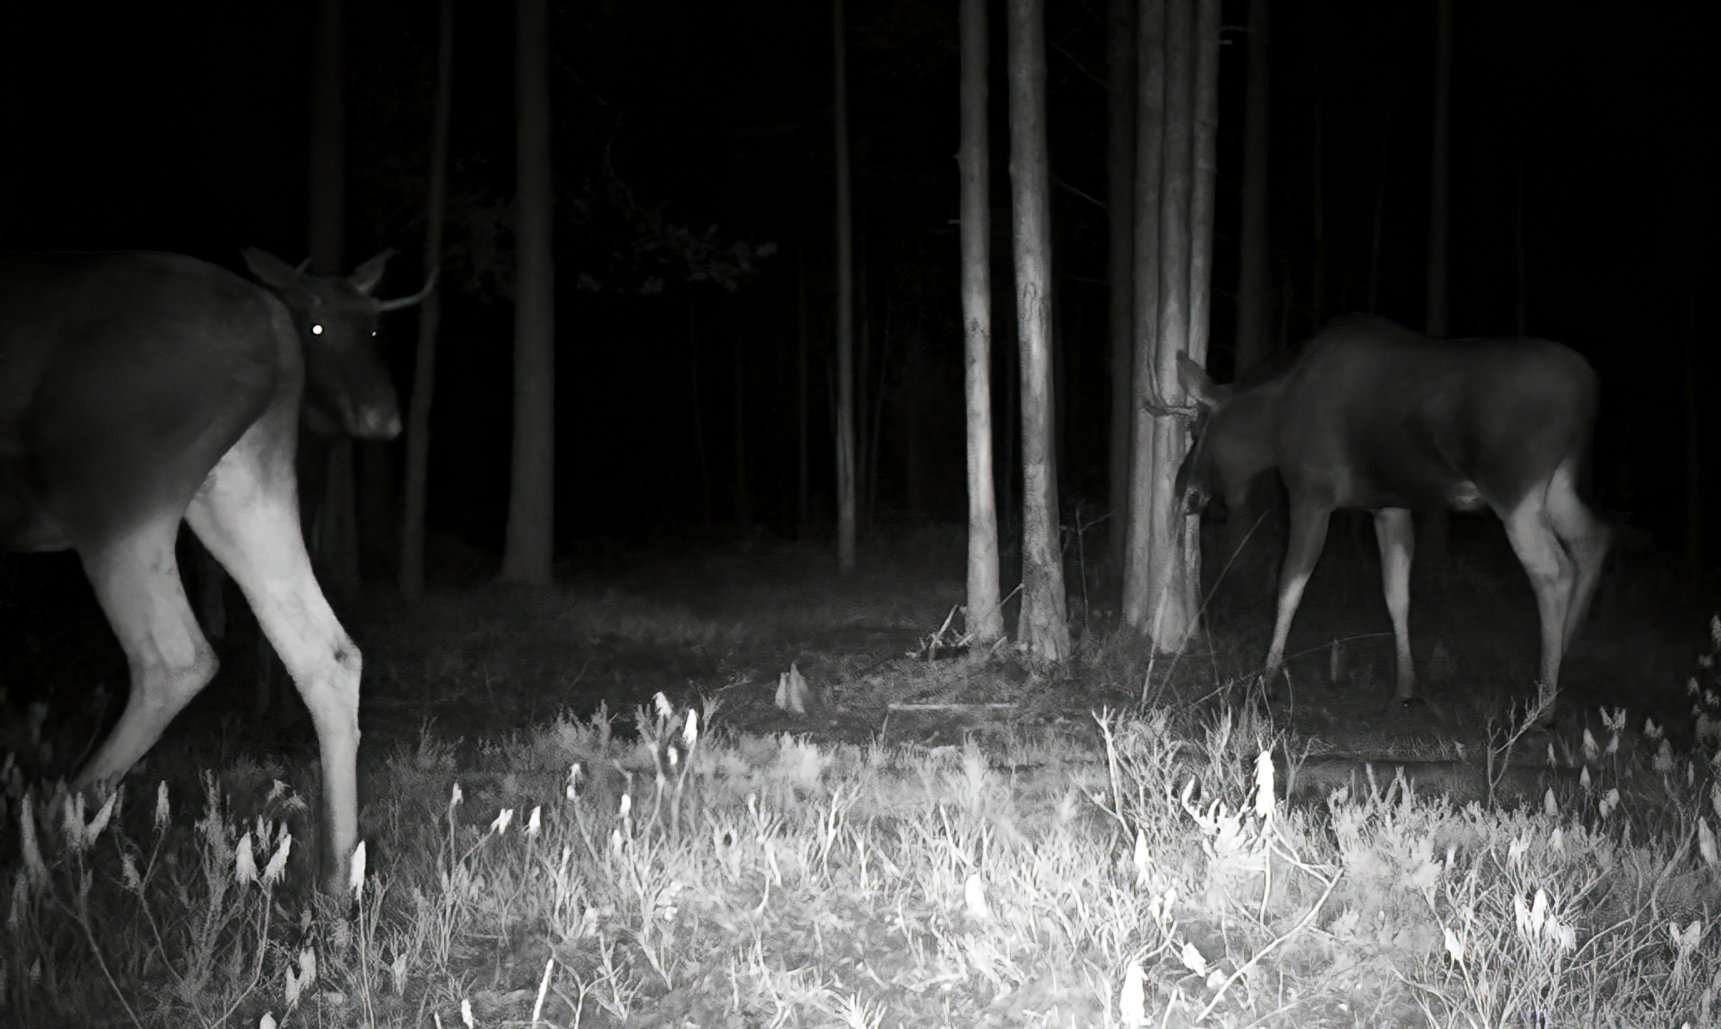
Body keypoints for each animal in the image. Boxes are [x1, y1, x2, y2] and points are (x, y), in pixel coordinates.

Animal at [1, 247, 430, 887]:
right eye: (320, 325)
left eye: (377, 327)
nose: (385, 420)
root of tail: (273, 329)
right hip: (240, 491)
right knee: (328, 652)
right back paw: (335, 879)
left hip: (116, 493)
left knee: (176, 657)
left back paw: (49, 847)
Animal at [1177, 314, 1603, 712]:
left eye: (1196, 426)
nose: (1185, 489)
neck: (1273, 421)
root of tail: (1588, 387)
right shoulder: (1389, 506)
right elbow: (1396, 594)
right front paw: (1404, 687)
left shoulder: (1310, 494)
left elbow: (1288, 586)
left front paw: (1266, 681)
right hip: (1558, 484)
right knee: (1594, 538)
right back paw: (1567, 651)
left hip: (1513, 489)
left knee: (1553, 570)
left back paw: (1544, 701)